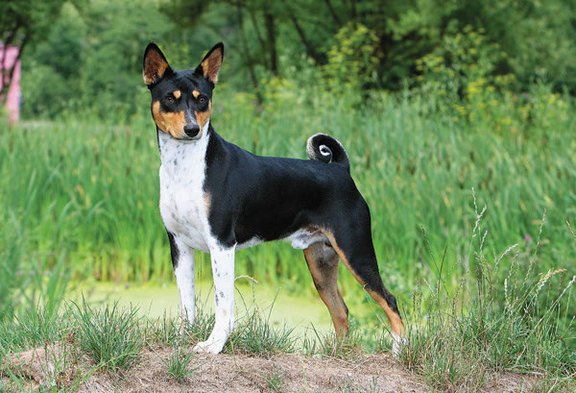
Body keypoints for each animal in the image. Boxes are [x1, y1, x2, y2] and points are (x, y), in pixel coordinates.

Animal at [143, 42, 404, 352]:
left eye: (202, 99)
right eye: (170, 98)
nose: (192, 129)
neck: (185, 167)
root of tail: (341, 169)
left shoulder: (221, 243)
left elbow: (223, 303)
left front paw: (214, 345)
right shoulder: (179, 244)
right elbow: (187, 303)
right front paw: (183, 338)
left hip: (355, 250)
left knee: (389, 300)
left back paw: (400, 351)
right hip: (321, 260)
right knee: (341, 309)